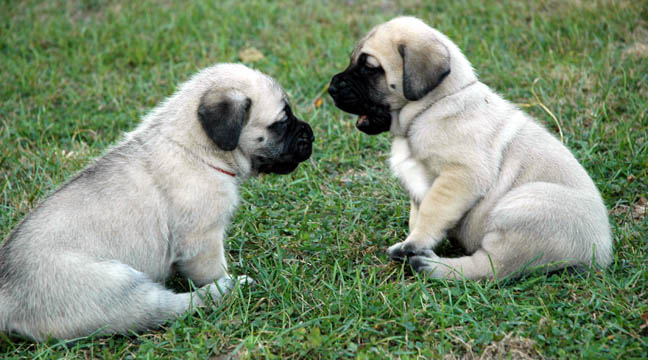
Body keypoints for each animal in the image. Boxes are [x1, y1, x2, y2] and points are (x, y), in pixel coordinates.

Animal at [0, 63, 314, 342]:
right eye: (282, 123)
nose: (310, 133)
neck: (196, 150)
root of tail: (8, 297)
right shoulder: (203, 241)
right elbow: (213, 269)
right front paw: (225, 279)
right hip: (120, 287)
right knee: (169, 307)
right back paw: (225, 290)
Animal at [330, 16, 612, 280]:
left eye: (369, 69)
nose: (332, 87)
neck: (431, 107)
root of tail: (600, 252)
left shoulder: (458, 177)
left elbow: (431, 212)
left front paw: (413, 243)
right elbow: (417, 214)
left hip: (523, 208)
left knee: (489, 268)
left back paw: (430, 266)